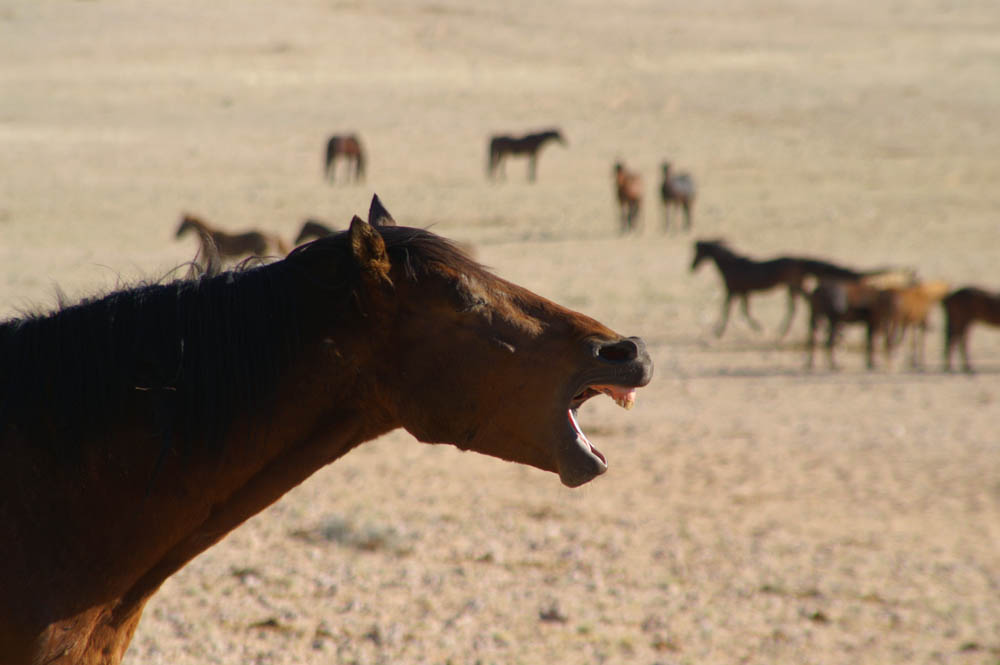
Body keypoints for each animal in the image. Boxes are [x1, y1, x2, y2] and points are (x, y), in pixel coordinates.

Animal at [688, 239, 876, 338]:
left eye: (698, 252)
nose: (692, 267)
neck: (730, 264)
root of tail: (799, 260)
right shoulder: (743, 292)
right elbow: (743, 311)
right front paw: (756, 326)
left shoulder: (732, 291)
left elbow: (728, 310)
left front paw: (718, 330)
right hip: (793, 286)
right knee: (799, 304)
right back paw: (786, 329)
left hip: (795, 285)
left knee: (803, 302)